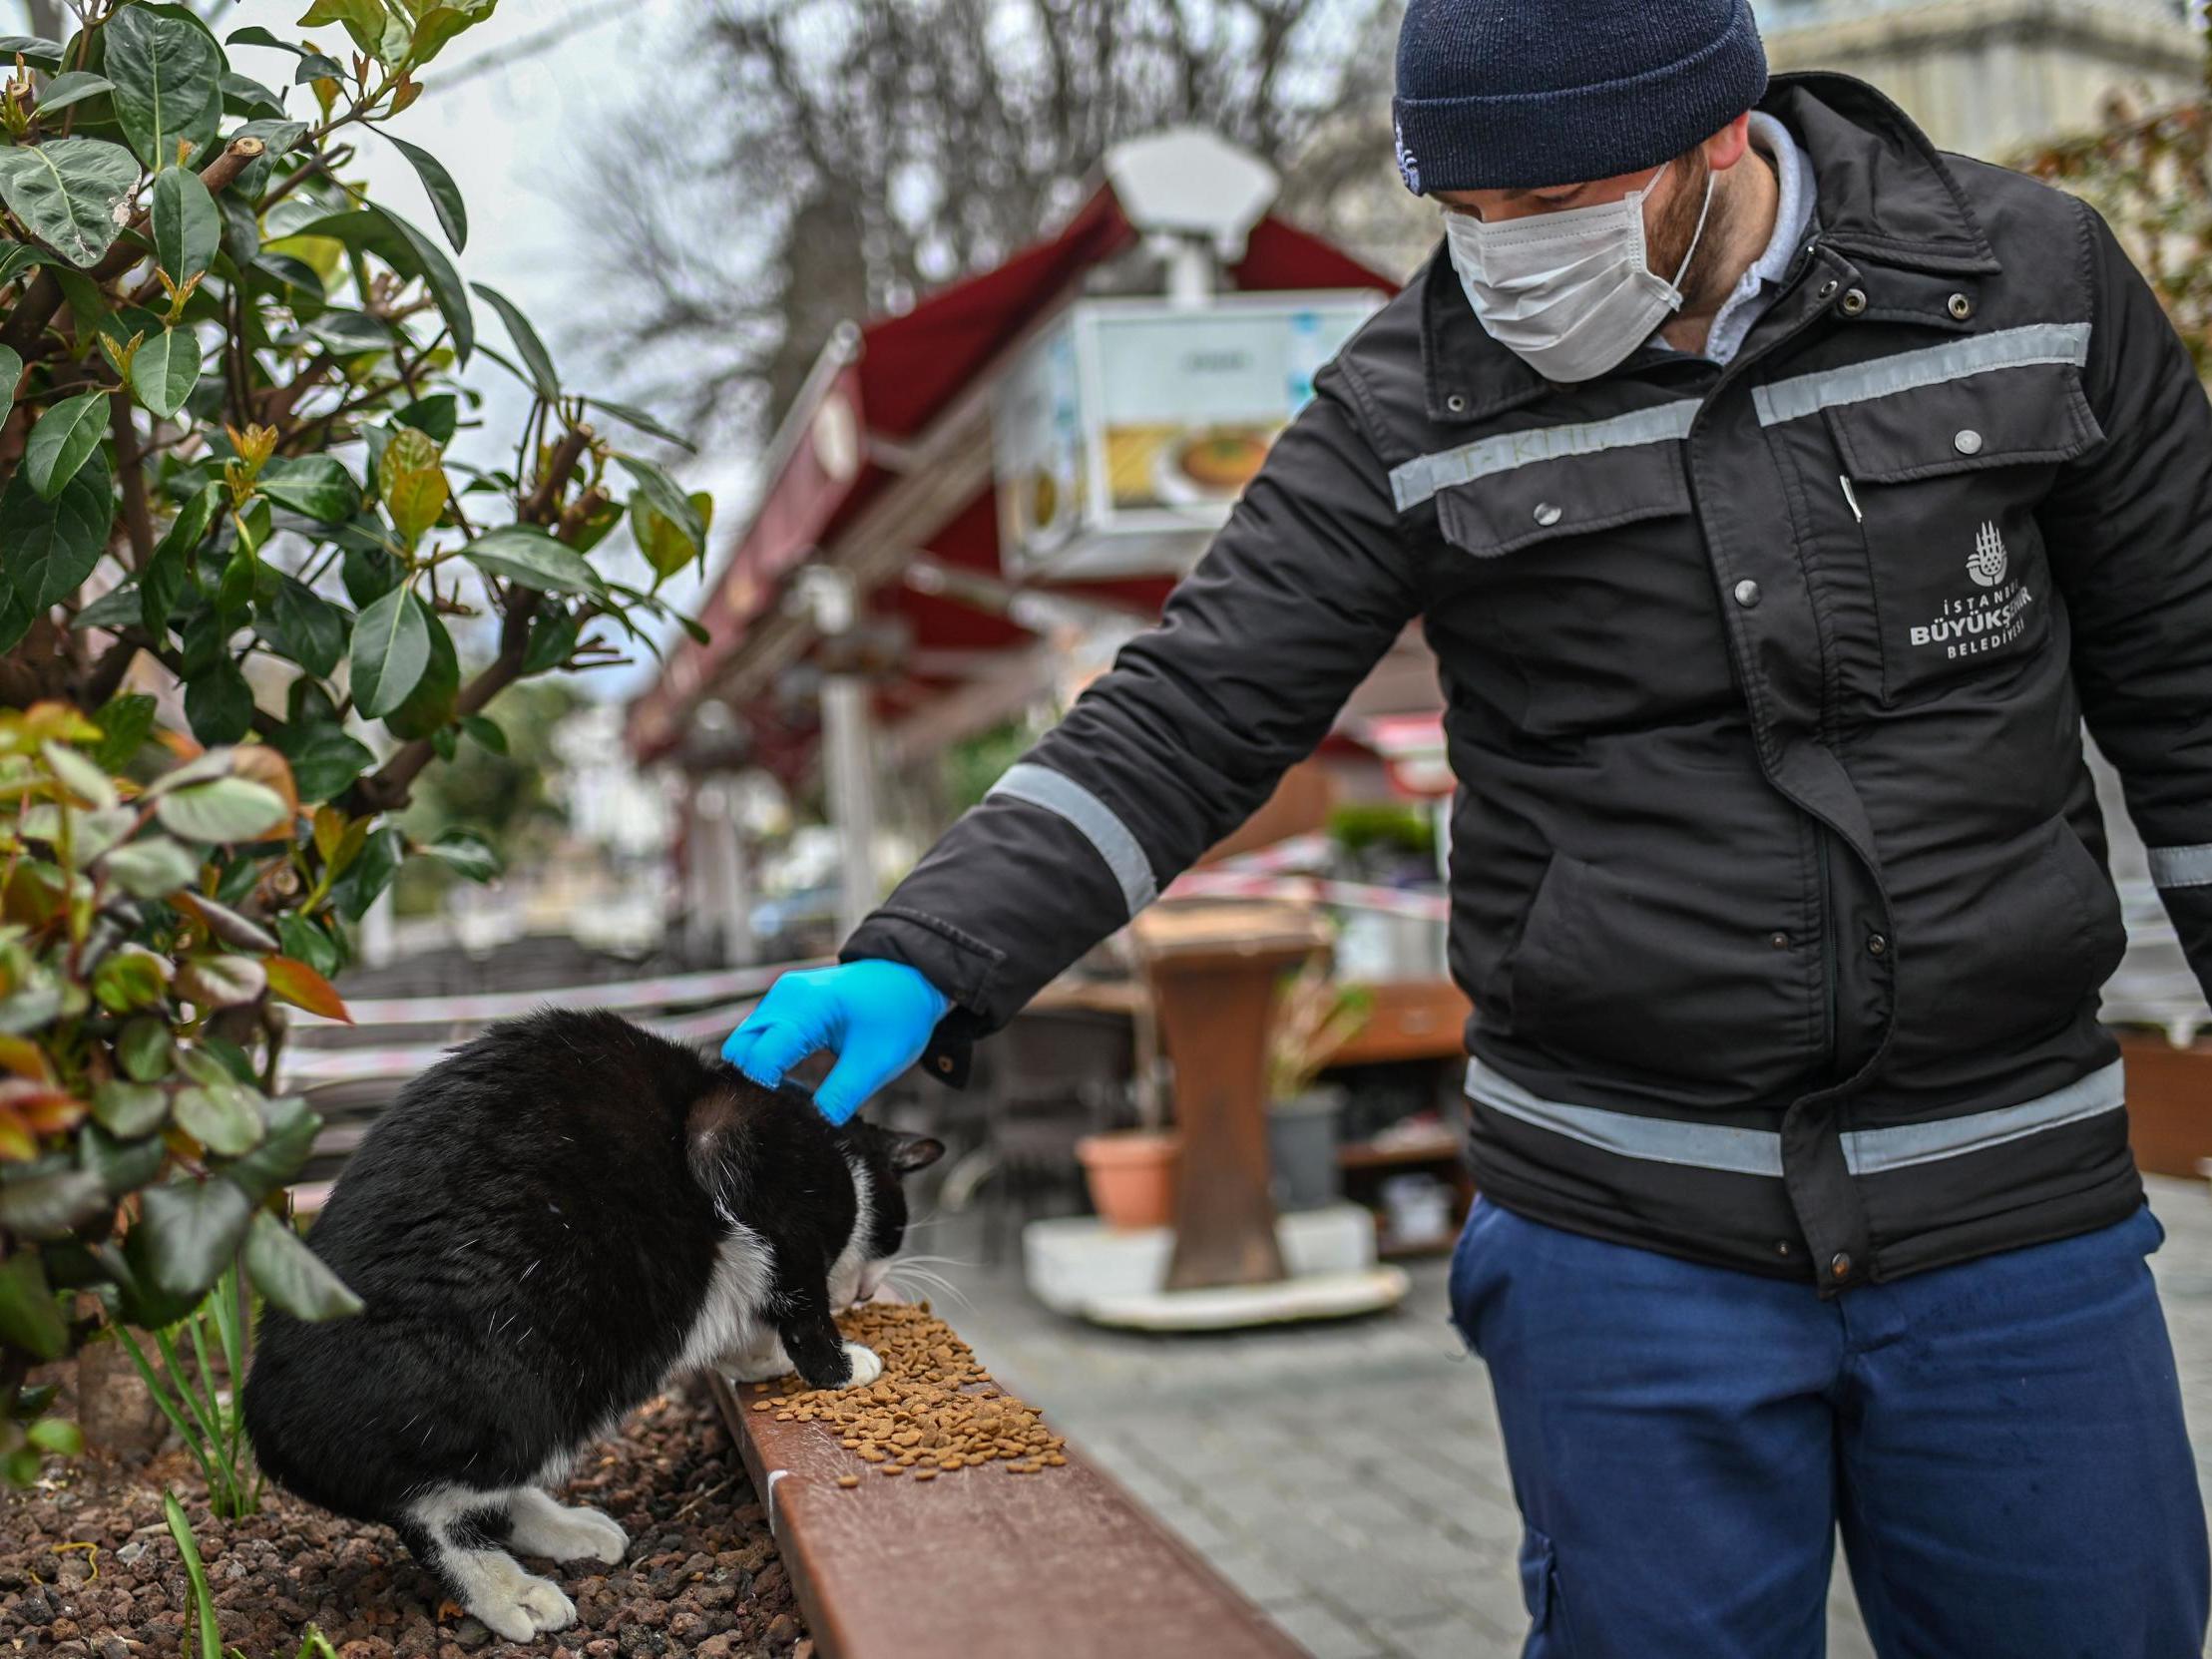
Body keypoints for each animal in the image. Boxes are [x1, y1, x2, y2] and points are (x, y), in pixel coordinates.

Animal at [241, 1009, 942, 1645]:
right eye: (896, 1227)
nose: (868, 1292)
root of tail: (265, 1425)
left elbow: (748, 1318)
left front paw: (762, 1361)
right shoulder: (739, 1154)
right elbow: (801, 1301)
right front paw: (842, 1367)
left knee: (487, 1495)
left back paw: (568, 1529)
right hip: (522, 1386)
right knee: (431, 1512)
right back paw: (511, 1593)